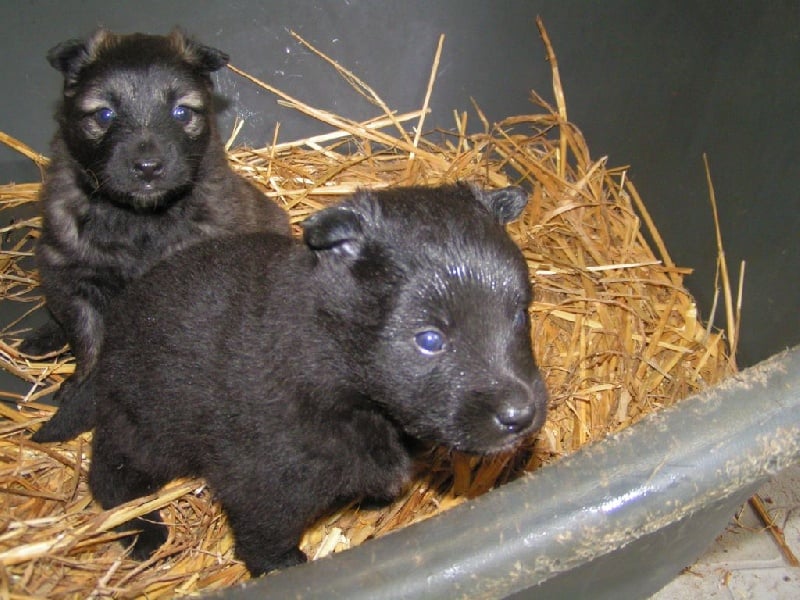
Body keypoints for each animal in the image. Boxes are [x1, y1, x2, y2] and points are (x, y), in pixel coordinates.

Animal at [26, 28, 292, 440]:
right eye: (103, 114)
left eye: (181, 112)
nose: (148, 167)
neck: (138, 220)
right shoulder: (70, 275)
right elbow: (88, 339)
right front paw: (81, 387)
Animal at [78, 183, 548, 576]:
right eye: (429, 339)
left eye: (520, 315)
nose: (520, 416)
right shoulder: (262, 481)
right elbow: (266, 536)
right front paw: (283, 569)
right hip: (148, 429)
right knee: (109, 473)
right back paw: (143, 532)